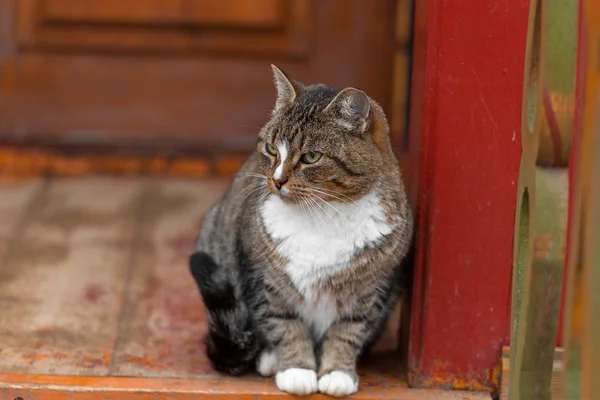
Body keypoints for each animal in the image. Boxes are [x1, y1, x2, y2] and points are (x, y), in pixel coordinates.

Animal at [190, 65, 414, 396]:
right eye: (271, 148)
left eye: (311, 157)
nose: (277, 180)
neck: (321, 215)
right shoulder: (263, 279)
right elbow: (284, 325)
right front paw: (297, 370)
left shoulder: (370, 290)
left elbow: (348, 331)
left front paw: (337, 373)